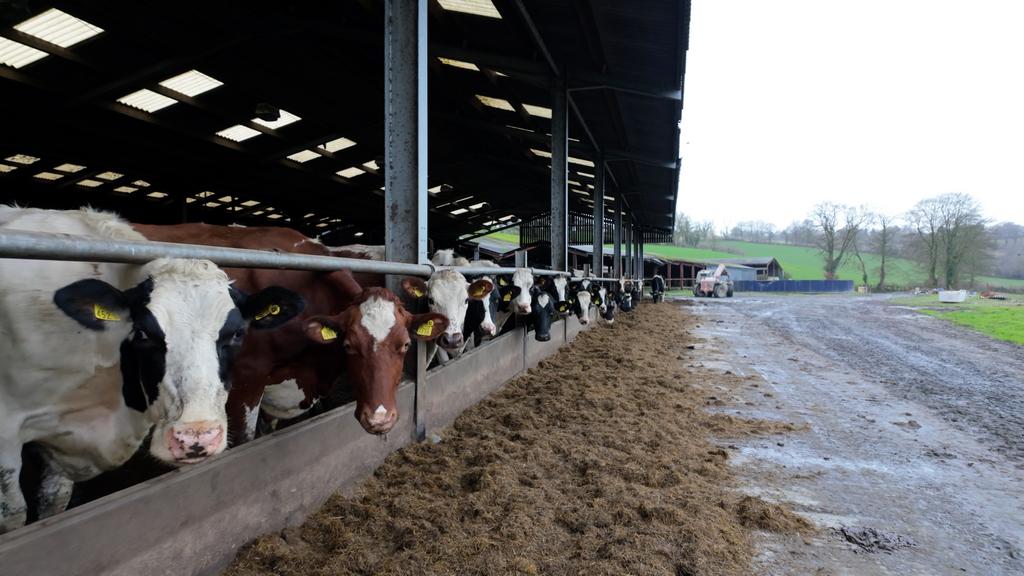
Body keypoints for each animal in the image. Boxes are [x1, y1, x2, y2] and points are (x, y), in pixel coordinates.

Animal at [0, 206, 303, 528]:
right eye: (143, 333)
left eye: (236, 334)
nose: (196, 438)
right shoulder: (8, 434)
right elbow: (14, 514)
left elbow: (55, 498)